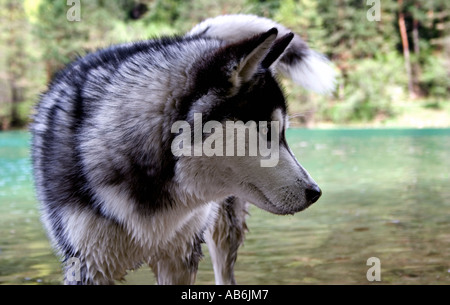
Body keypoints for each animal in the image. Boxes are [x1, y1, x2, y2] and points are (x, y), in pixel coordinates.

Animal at [30, 14, 334, 284]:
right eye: (269, 131)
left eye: (283, 133)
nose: (316, 192)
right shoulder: (88, 264)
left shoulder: (180, 257)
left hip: (223, 230)